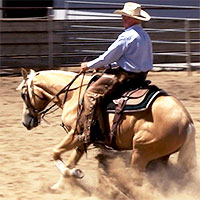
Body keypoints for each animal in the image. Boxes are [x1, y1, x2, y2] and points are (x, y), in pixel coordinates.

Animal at [16, 68, 196, 189]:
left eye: (23, 95)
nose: (25, 122)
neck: (73, 95)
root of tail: (187, 122)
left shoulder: (75, 134)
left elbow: (55, 153)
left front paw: (74, 174)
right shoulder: (83, 140)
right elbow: (69, 162)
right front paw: (59, 186)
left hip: (141, 153)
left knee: (137, 179)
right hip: (160, 157)